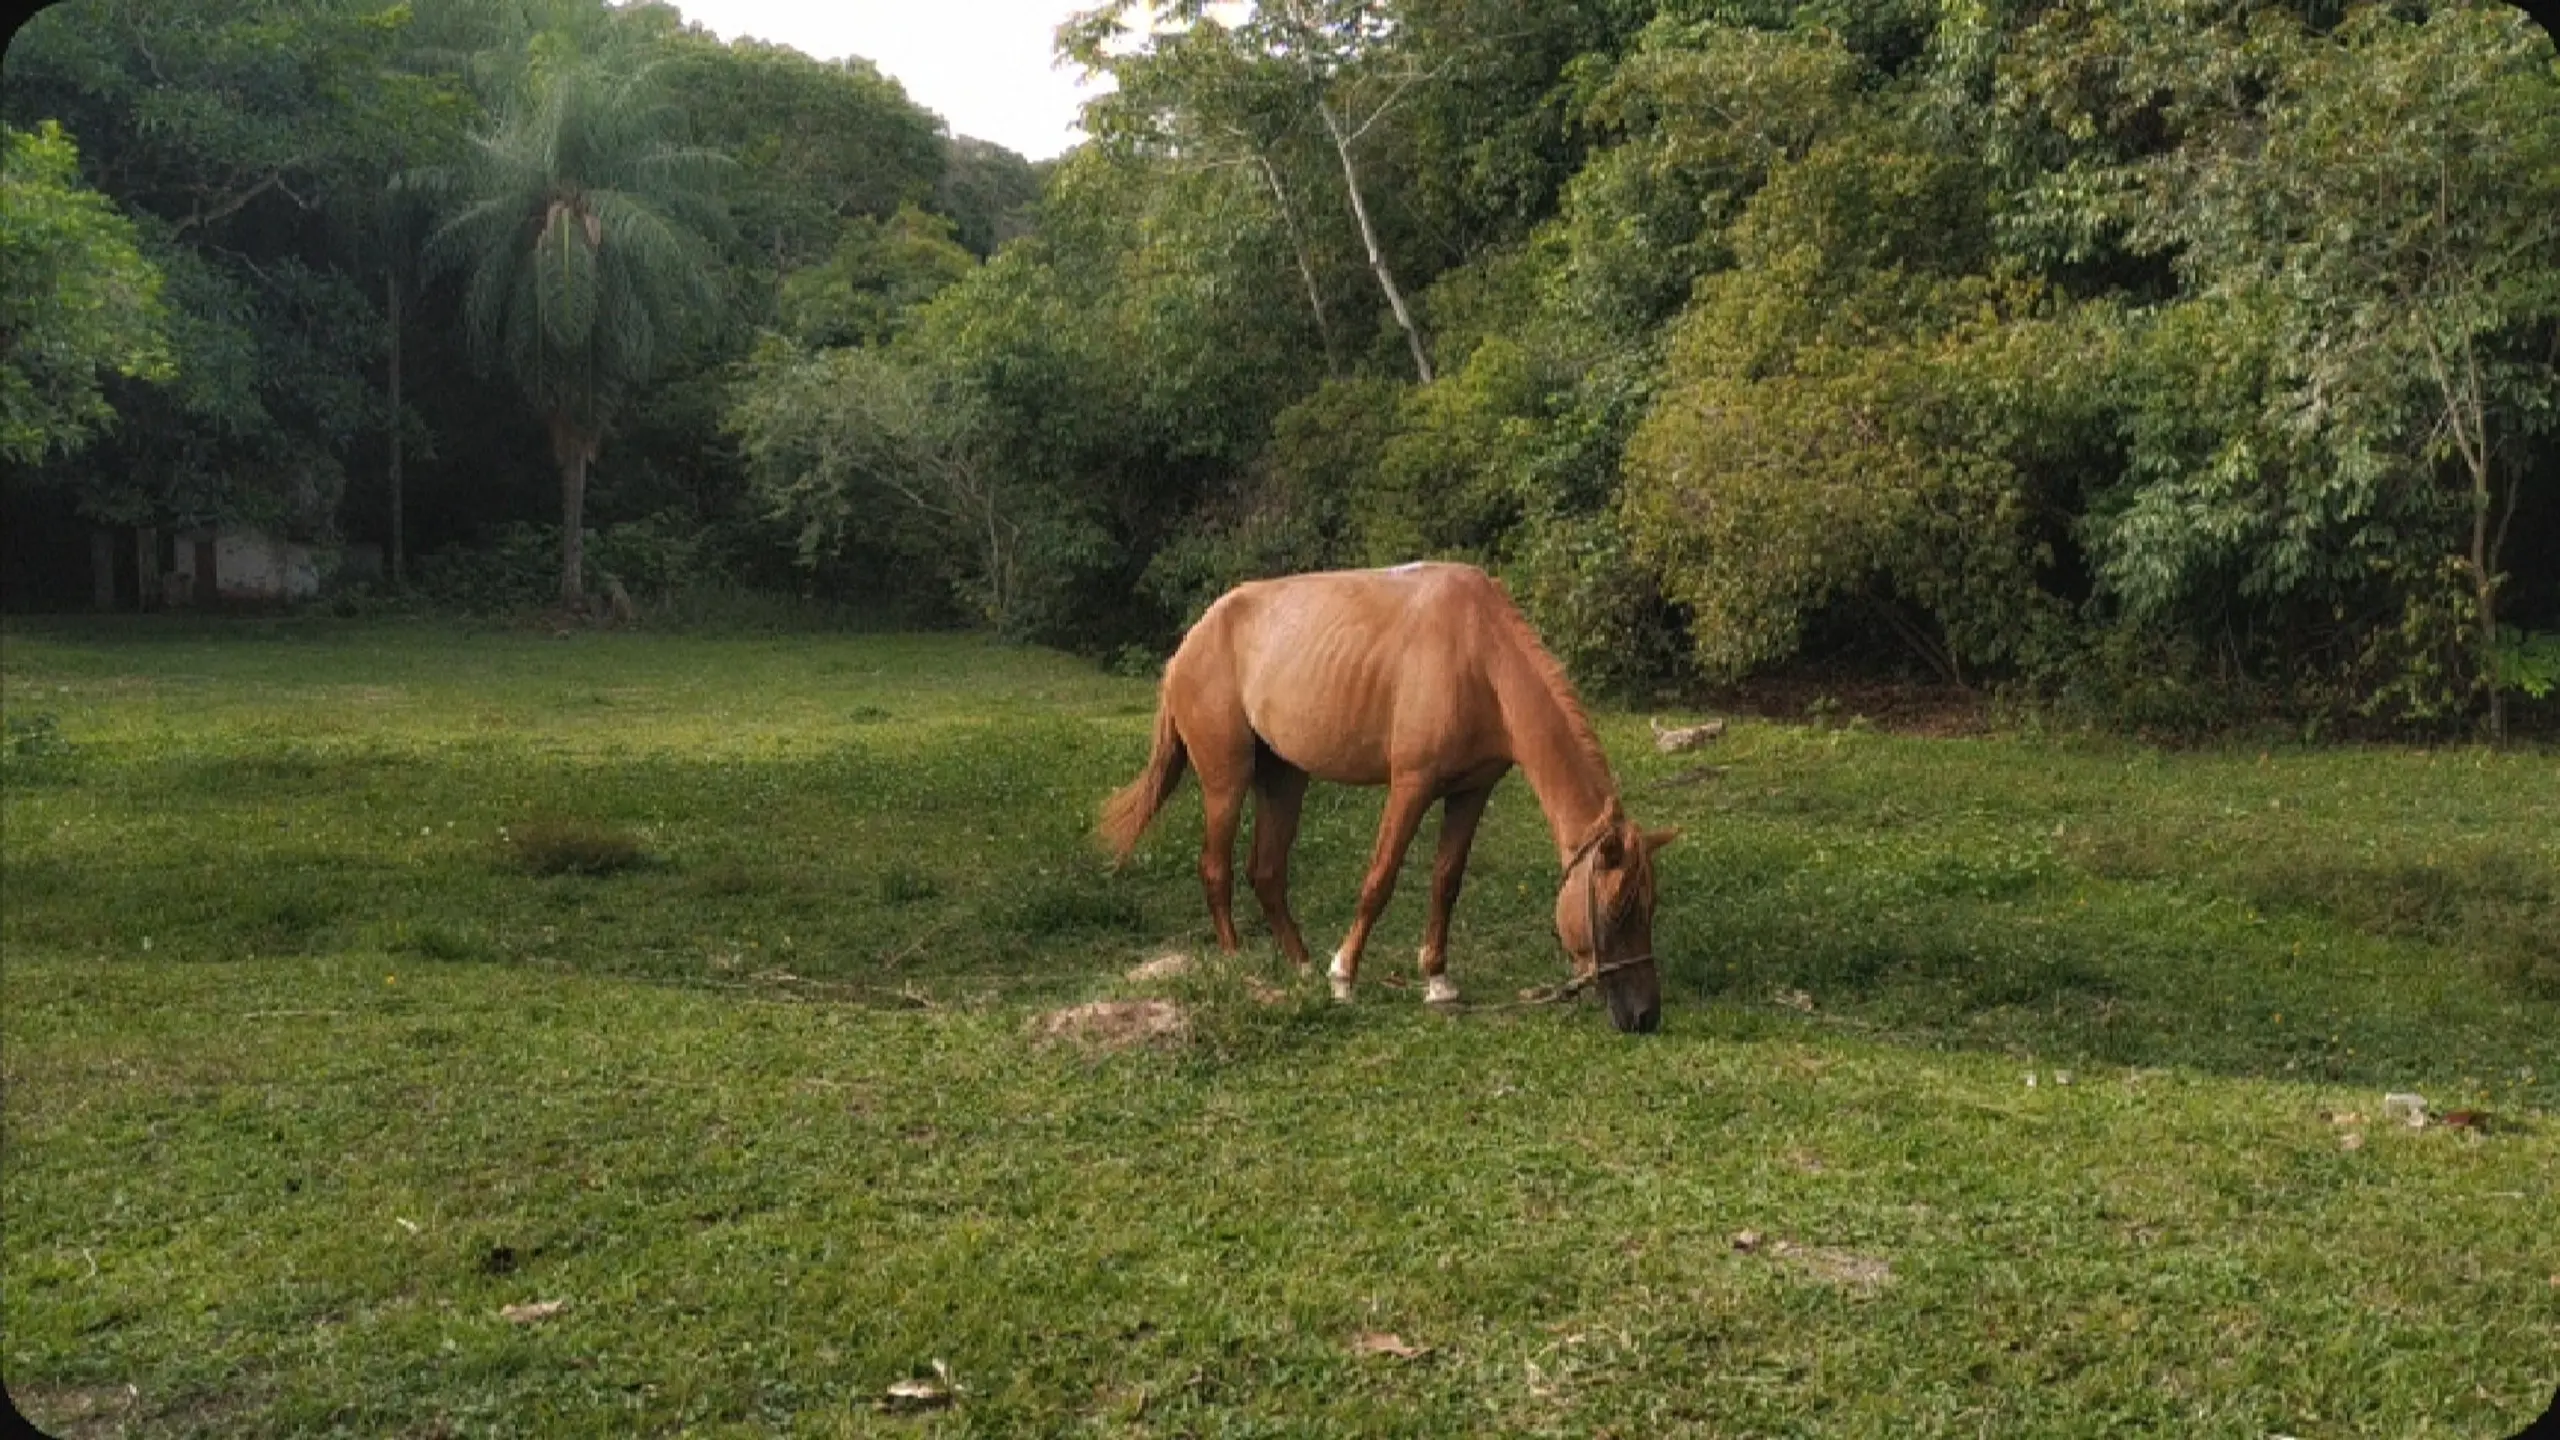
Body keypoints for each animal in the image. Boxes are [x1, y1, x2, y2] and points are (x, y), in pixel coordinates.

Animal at [1100, 556, 1679, 1024]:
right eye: (1618, 910)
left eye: (1650, 907)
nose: (1645, 1016)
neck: (1480, 655)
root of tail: (1191, 641)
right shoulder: (1411, 786)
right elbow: (1379, 880)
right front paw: (1343, 976)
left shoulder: (1471, 792)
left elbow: (1446, 882)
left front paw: (1438, 982)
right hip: (1227, 780)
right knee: (1216, 869)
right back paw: (1239, 963)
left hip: (1284, 779)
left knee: (1265, 873)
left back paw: (1301, 967)